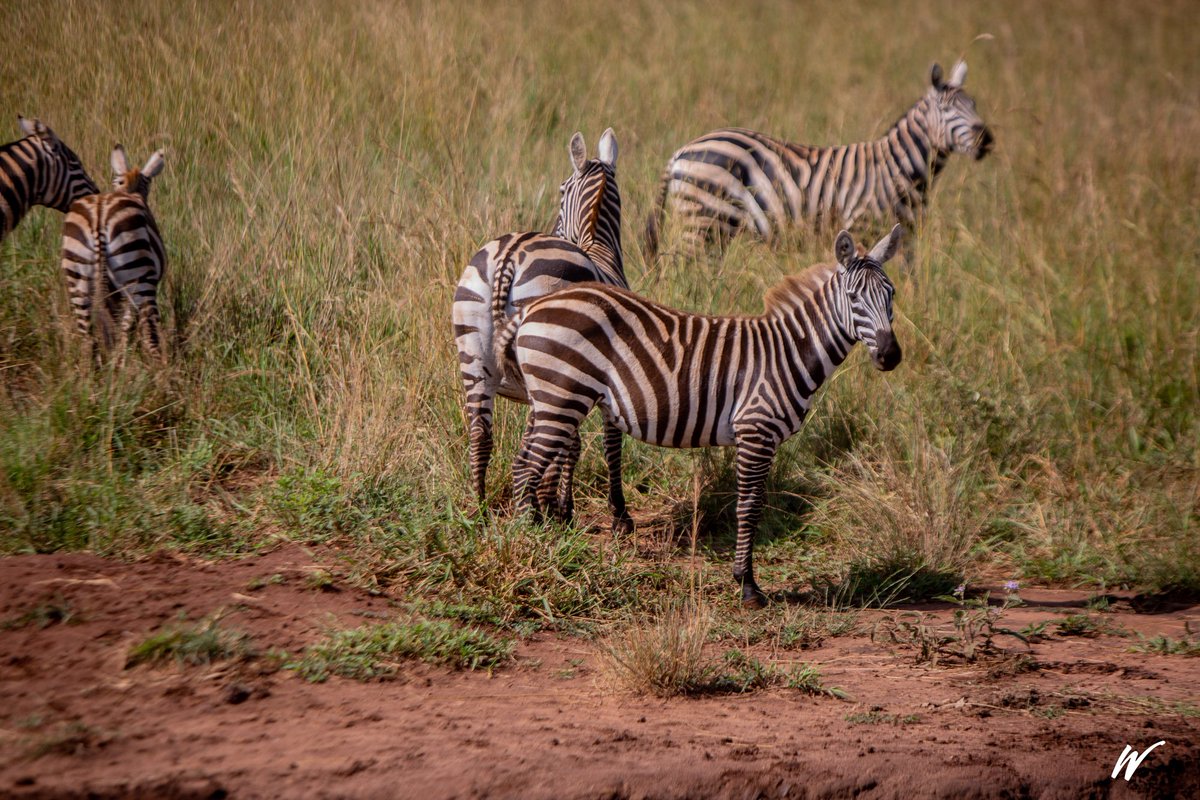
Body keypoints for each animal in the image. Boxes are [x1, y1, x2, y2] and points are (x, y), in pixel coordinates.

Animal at [60, 145, 167, 365]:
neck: (128, 190)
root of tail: (99, 216)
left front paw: (119, 360)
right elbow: (126, 324)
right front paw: (122, 360)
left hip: (77, 276)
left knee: (87, 338)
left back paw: (92, 372)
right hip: (139, 276)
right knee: (150, 331)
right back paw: (162, 369)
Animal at [452, 128, 633, 534]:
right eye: (562, 189)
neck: (598, 248)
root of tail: (509, 254)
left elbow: (570, 443)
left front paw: (557, 507)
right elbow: (606, 443)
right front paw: (609, 512)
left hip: (475, 352)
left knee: (479, 433)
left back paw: (481, 508)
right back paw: (534, 513)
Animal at [501, 224, 904, 607]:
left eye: (892, 295)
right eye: (853, 297)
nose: (891, 356)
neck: (788, 352)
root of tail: (536, 306)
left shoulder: (763, 437)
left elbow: (752, 506)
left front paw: (745, 580)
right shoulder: (756, 431)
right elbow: (749, 508)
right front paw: (747, 585)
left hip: (548, 400)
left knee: (525, 462)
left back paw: (539, 532)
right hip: (561, 396)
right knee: (525, 468)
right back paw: (529, 539)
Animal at [645, 60, 992, 259]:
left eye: (974, 104)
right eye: (947, 109)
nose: (986, 140)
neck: (900, 170)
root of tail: (680, 152)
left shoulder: (906, 237)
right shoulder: (861, 227)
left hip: (712, 227)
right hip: (702, 219)